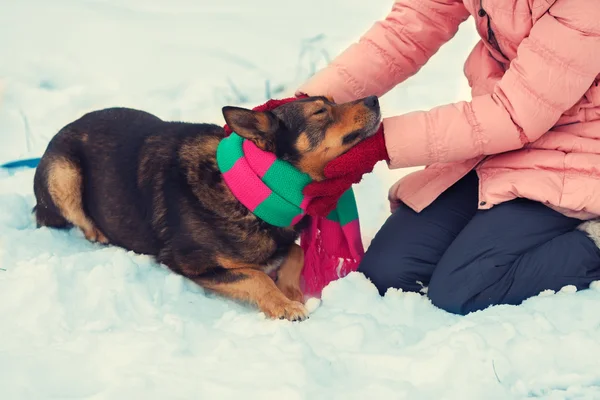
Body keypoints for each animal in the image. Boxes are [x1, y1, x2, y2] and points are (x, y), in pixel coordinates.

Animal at [31, 95, 380, 320]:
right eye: (321, 111)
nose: (375, 98)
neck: (250, 189)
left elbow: (295, 251)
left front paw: (291, 291)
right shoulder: (188, 263)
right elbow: (256, 276)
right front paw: (283, 304)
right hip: (63, 174)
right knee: (82, 223)